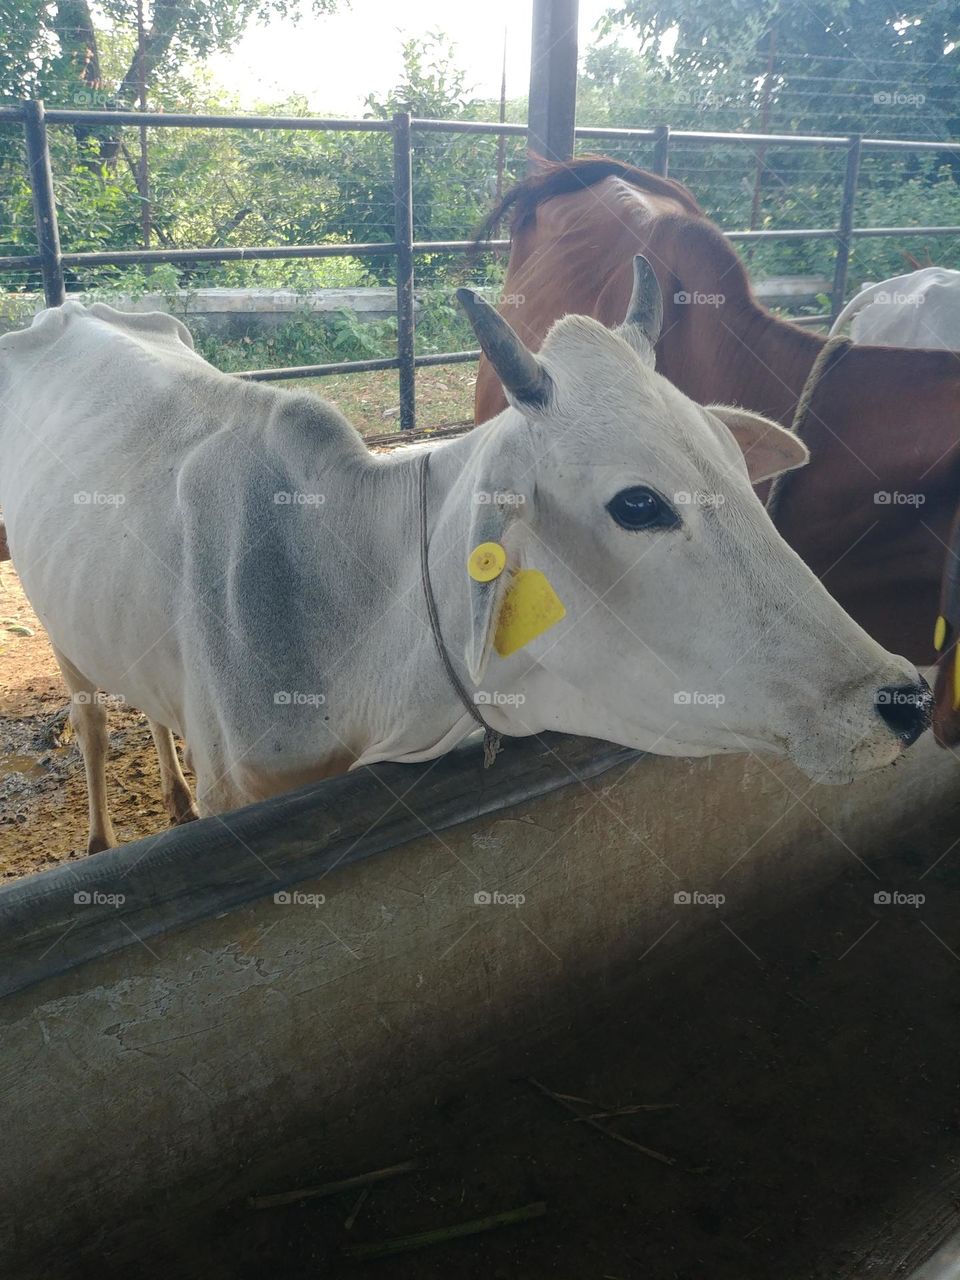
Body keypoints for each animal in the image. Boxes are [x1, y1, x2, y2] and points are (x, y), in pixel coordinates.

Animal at [0, 262, 930, 855]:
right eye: (638, 504)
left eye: (736, 467)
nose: (904, 699)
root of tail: (61, 313)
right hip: (59, 628)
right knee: (90, 718)